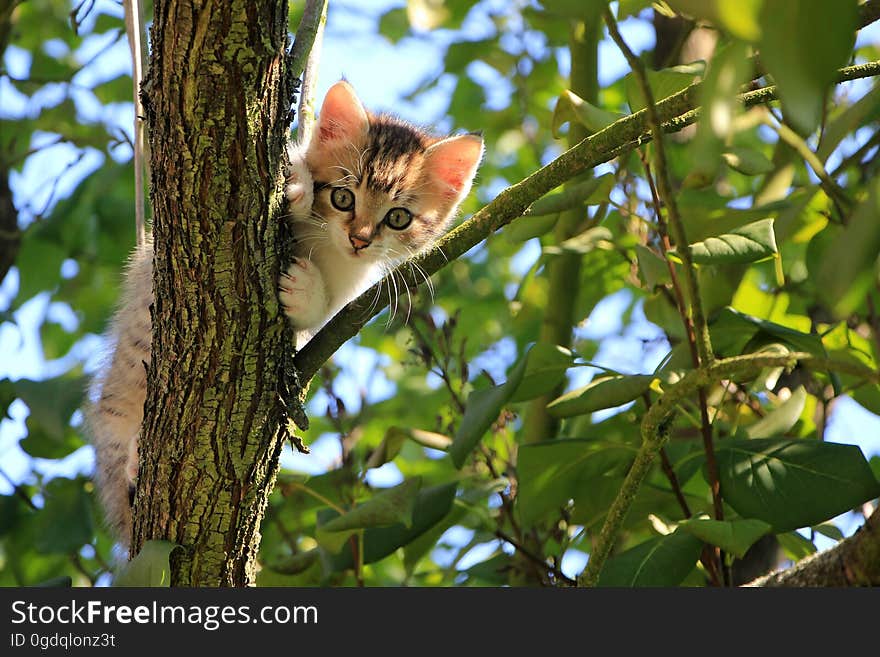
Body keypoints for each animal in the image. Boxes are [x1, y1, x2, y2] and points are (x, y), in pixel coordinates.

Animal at [87, 78, 484, 540]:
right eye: (343, 197)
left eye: (398, 217)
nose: (360, 239)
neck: (326, 246)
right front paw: (296, 185)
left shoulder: (347, 291)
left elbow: (321, 314)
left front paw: (305, 290)